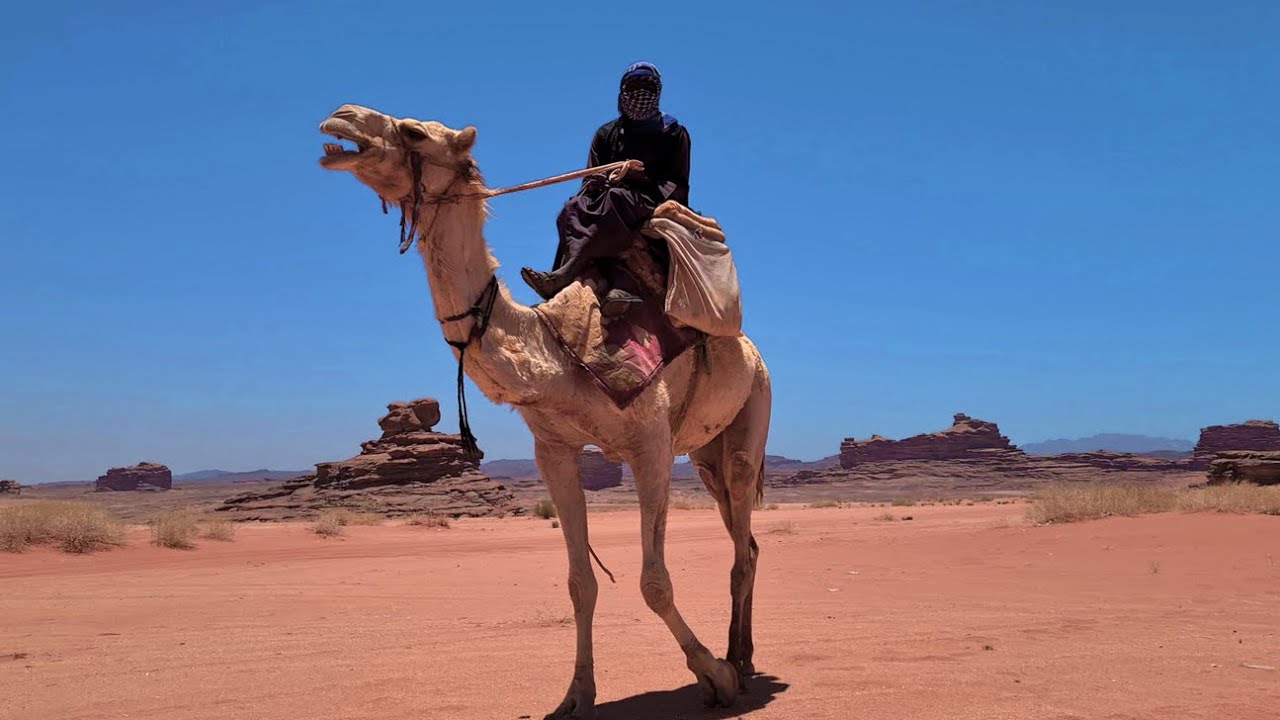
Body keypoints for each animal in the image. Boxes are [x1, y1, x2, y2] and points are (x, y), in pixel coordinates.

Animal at [317, 104, 772, 719]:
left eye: (412, 131)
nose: (340, 119)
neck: (552, 350)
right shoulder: (553, 450)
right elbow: (581, 583)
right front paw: (576, 696)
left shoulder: (649, 445)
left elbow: (654, 582)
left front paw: (714, 676)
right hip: (704, 455)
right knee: (744, 537)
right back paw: (740, 654)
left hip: (753, 410)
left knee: (742, 536)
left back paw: (741, 666)